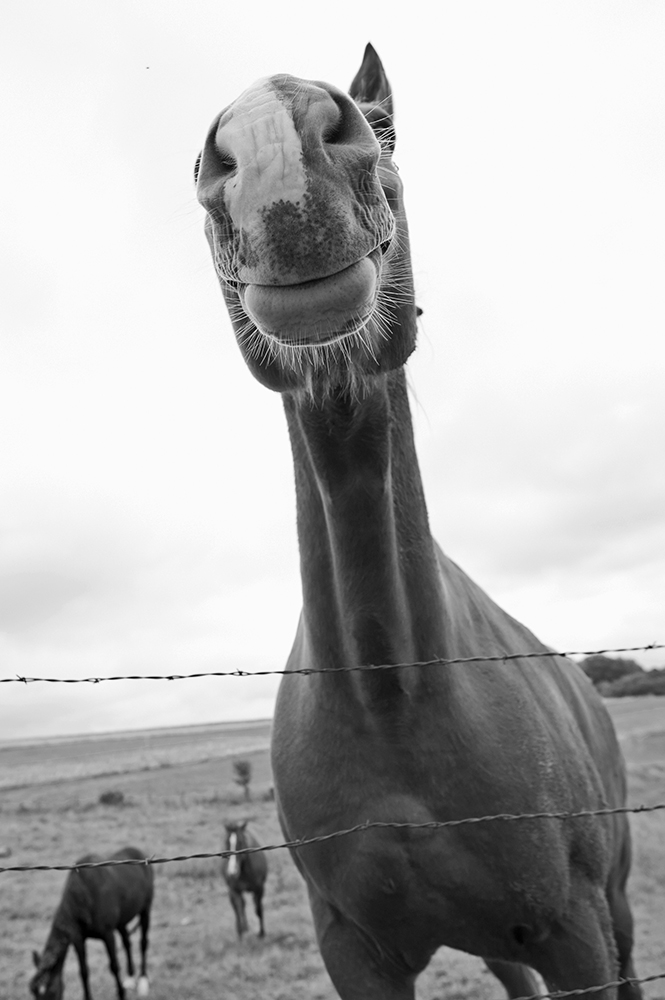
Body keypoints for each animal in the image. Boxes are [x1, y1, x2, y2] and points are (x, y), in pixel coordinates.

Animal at [30, 846, 153, 1000]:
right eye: (34, 992)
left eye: (51, 990)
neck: (83, 895)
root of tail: (139, 852)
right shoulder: (78, 939)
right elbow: (83, 971)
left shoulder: (108, 935)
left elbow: (114, 966)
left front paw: (121, 994)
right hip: (121, 921)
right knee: (127, 942)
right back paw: (130, 978)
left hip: (145, 910)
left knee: (143, 943)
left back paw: (143, 980)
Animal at [195, 44, 640, 999]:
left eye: (387, 132)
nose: (273, 138)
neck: (389, 691)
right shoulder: (356, 949)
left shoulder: (575, 934)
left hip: (611, 909)